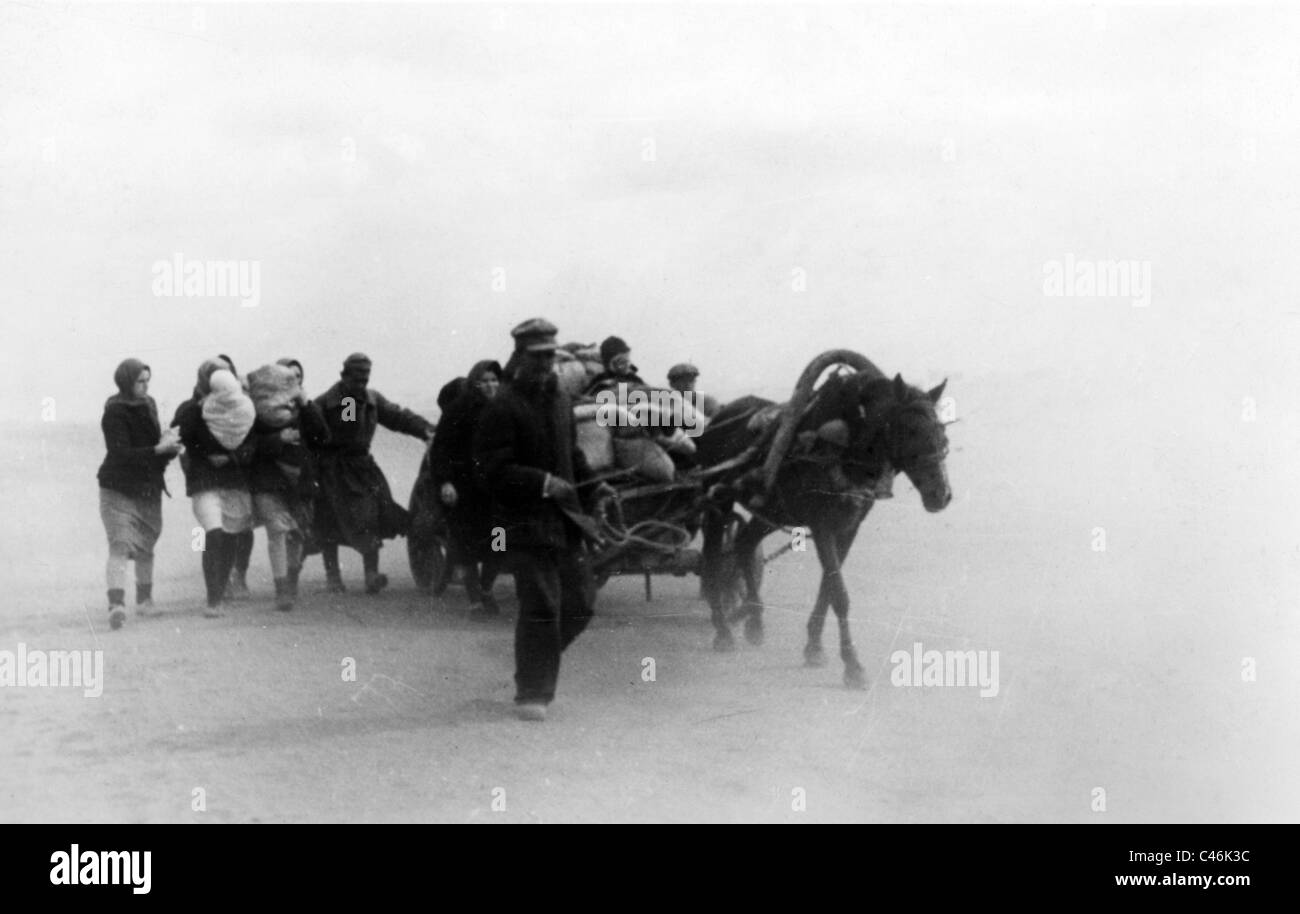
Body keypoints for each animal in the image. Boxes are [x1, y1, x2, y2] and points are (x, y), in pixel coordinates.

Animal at [696, 353, 951, 691]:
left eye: (941, 430)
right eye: (909, 430)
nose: (941, 495)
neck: (843, 448)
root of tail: (719, 417)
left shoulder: (849, 527)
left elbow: (828, 589)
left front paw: (814, 646)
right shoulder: (822, 526)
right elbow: (839, 593)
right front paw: (852, 665)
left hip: (774, 511)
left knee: (744, 543)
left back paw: (754, 620)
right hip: (718, 504)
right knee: (713, 558)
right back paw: (723, 627)